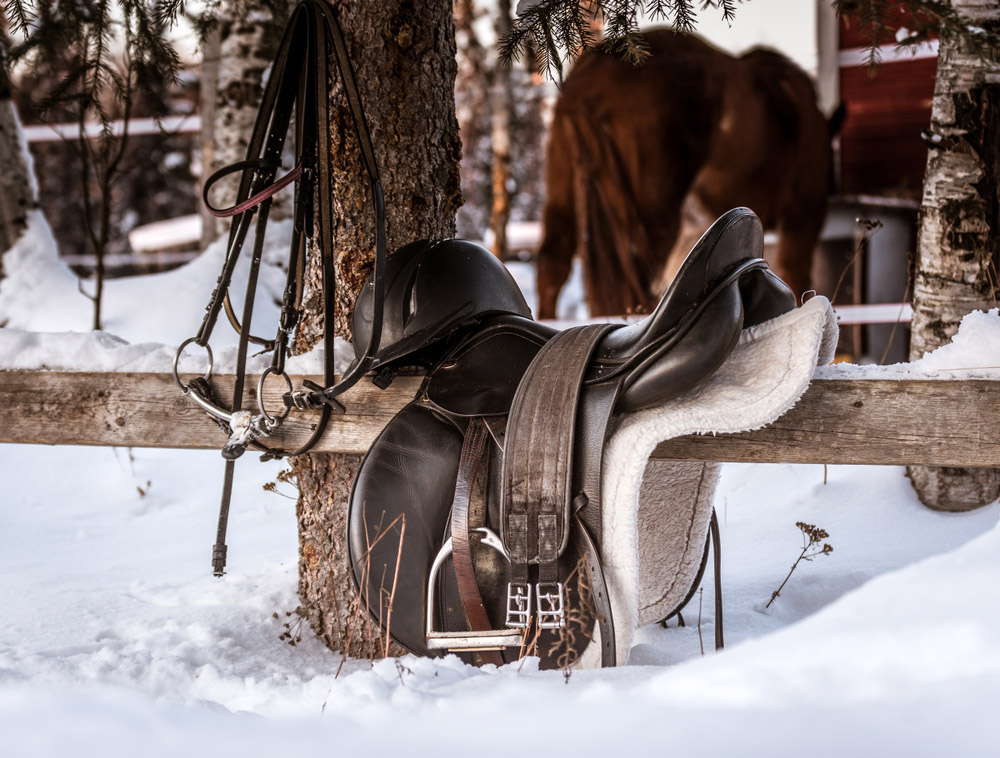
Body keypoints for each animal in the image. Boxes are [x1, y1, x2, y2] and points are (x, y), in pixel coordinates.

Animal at [536, 30, 840, 318]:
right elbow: (796, 278)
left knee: (553, 265)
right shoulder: (803, 215)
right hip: (652, 222)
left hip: (563, 193)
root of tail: (588, 83)